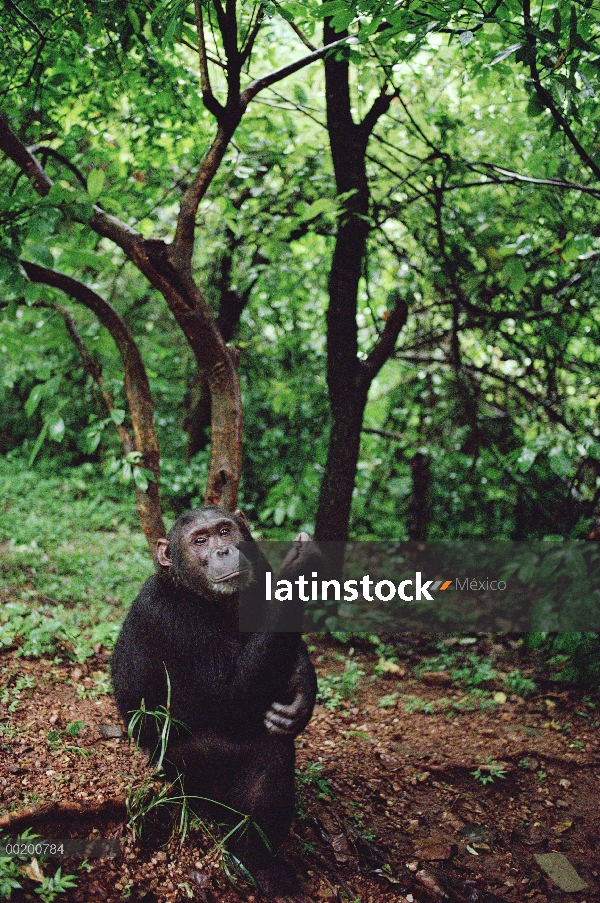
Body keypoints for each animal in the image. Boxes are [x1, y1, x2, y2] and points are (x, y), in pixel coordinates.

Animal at [111, 508, 318, 903]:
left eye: (225, 531)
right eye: (200, 540)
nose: (222, 550)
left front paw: (302, 695)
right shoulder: (172, 617)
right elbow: (231, 697)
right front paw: (300, 567)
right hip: (183, 773)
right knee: (267, 752)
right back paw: (259, 863)